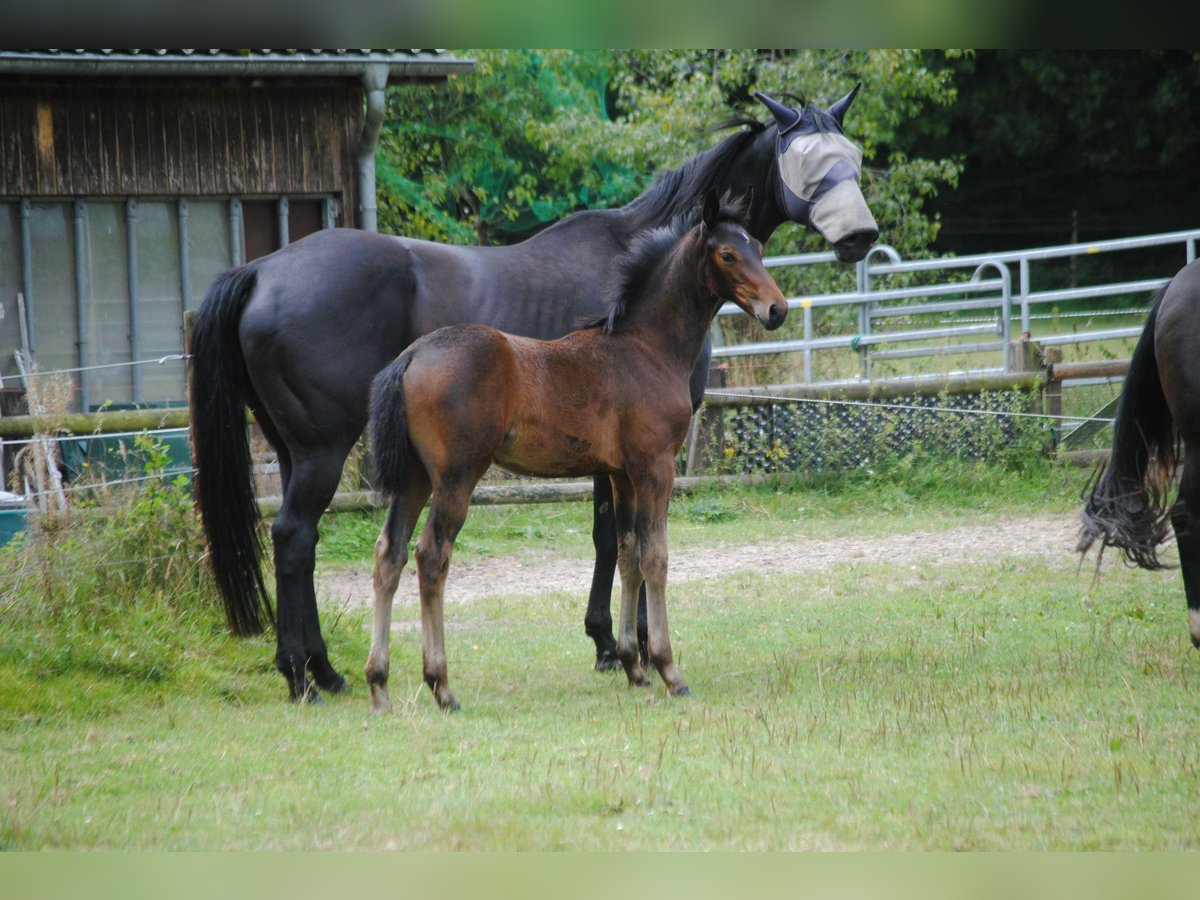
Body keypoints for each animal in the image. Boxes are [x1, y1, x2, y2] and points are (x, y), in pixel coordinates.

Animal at [189, 86, 883, 705]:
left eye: (853, 152)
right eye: (809, 160)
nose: (862, 237)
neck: (640, 335)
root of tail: (258, 269)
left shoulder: (619, 464)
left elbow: (625, 548)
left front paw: (626, 654)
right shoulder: (646, 463)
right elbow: (637, 548)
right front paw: (635, 653)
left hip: (311, 451)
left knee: (346, 548)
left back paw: (336, 673)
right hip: (345, 454)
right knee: (313, 538)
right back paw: (320, 677)